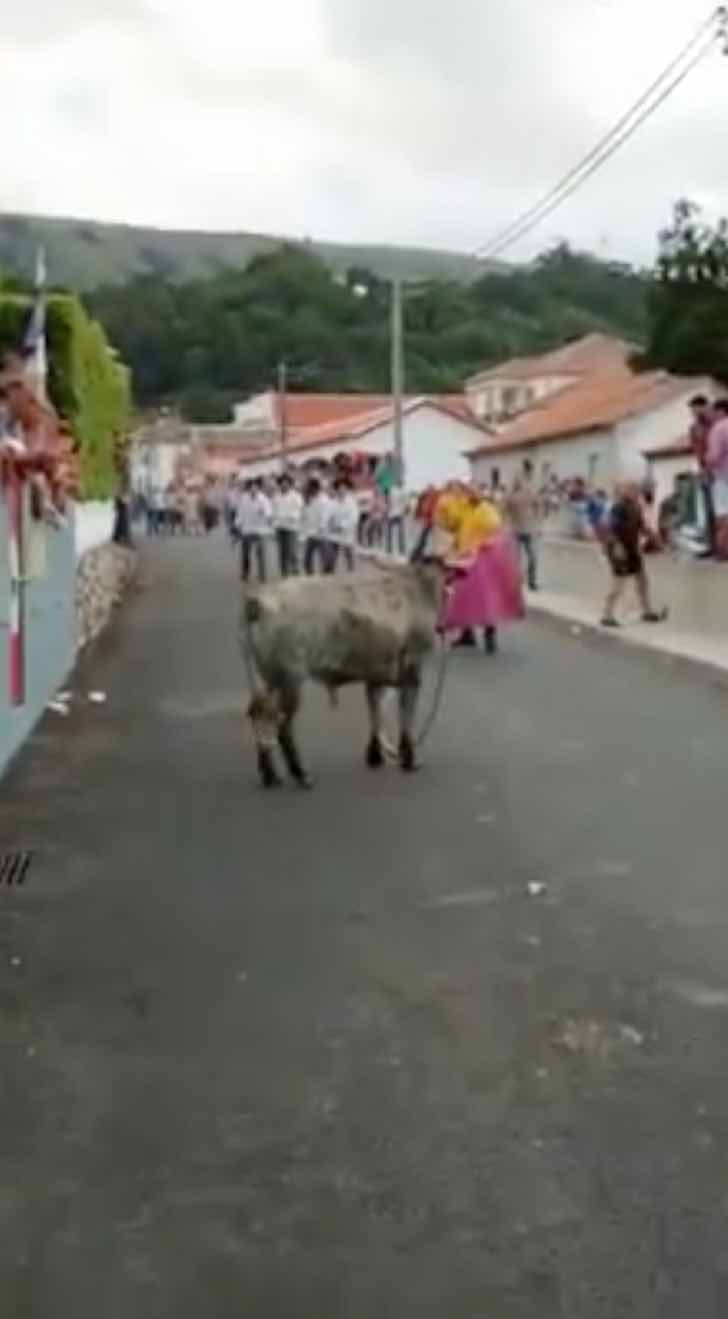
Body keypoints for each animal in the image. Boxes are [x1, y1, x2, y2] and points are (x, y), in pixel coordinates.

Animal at [240, 553, 443, 780]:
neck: (417, 585)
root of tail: (257, 603)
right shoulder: (412, 665)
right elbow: (406, 715)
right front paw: (410, 758)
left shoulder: (376, 669)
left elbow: (374, 709)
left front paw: (374, 755)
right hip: (290, 676)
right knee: (283, 723)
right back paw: (301, 773)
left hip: (268, 675)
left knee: (261, 714)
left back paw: (270, 774)